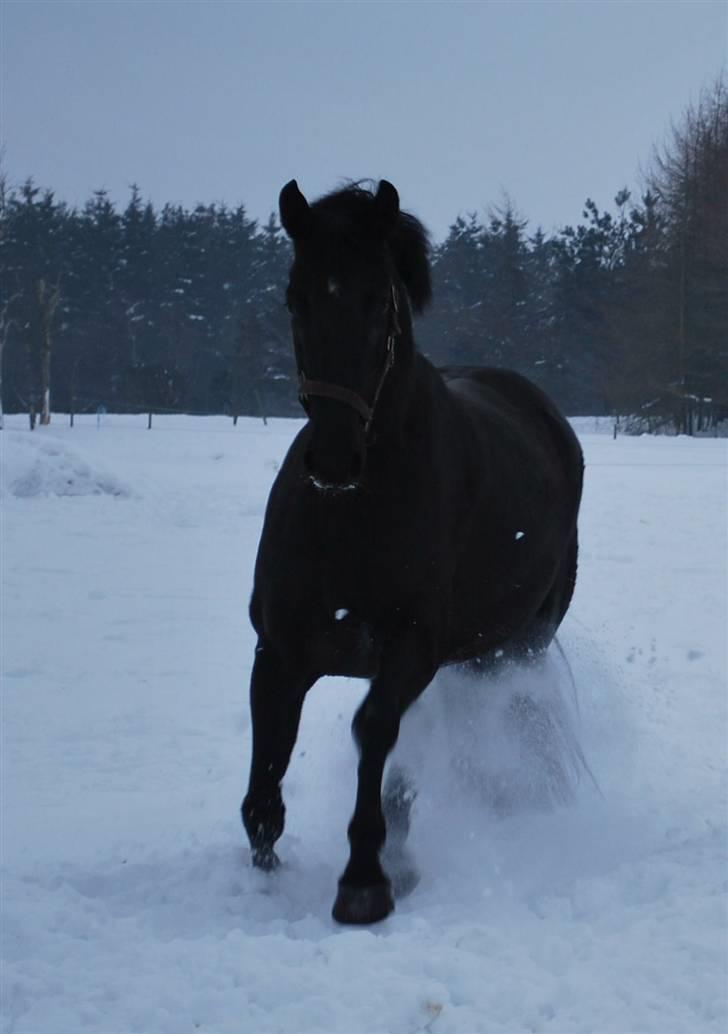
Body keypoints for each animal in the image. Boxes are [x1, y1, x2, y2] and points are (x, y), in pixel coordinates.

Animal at [241, 175, 583, 922]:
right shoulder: (279, 652)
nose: (334, 457)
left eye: (378, 301)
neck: (352, 513)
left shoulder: (412, 647)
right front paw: (266, 869)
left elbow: (374, 732)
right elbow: (266, 773)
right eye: (296, 298)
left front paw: (366, 879)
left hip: (518, 645)